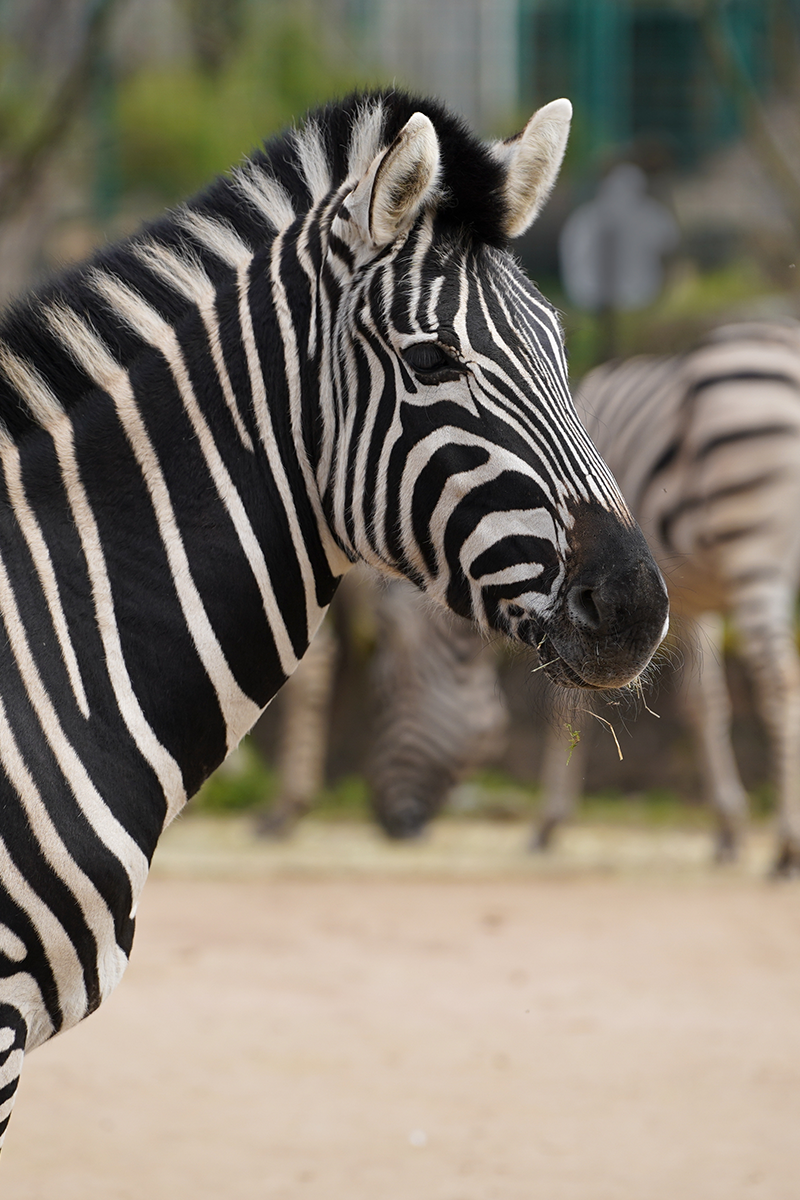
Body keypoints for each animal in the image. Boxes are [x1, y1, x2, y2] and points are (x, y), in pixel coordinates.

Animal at [535, 321, 800, 875]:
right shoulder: (689, 605)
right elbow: (704, 703)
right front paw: (728, 831)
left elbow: (568, 700)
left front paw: (548, 821)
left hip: (754, 548)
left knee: (780, 680)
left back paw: (788, 846)